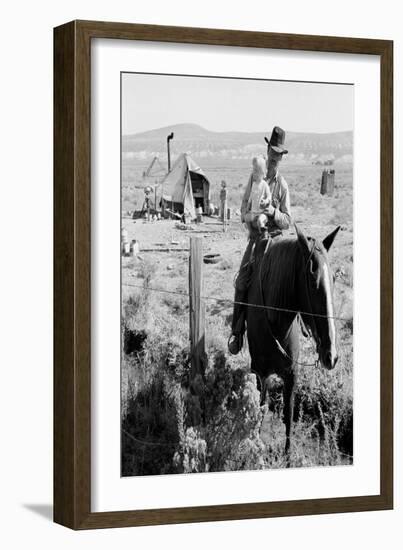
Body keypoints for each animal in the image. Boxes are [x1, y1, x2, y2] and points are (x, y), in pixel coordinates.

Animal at [246, 224, 340, 458]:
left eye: (333, 279)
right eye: (313, 281)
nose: (331, 356)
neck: (277, 321)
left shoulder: (292, 375)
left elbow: (288, 414)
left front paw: (287, 456)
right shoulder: (261, 373)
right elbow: (260, 407)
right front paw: (255, 446)